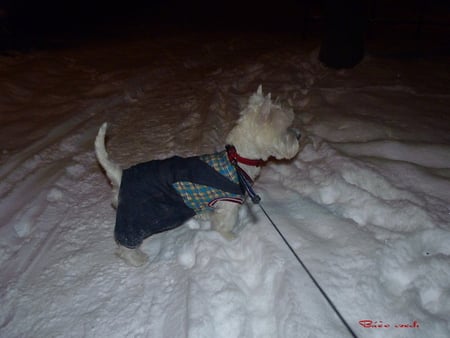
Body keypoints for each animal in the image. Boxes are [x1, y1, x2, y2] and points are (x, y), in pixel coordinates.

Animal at [94, 85, 298, 266]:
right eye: (285, 128)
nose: (300, 136)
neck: (238, 159)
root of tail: (120, 175)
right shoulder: (228, 204)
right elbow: (224, 225)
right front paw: (231, 237)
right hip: (137, 215)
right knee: (125, 243)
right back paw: (137, 260)